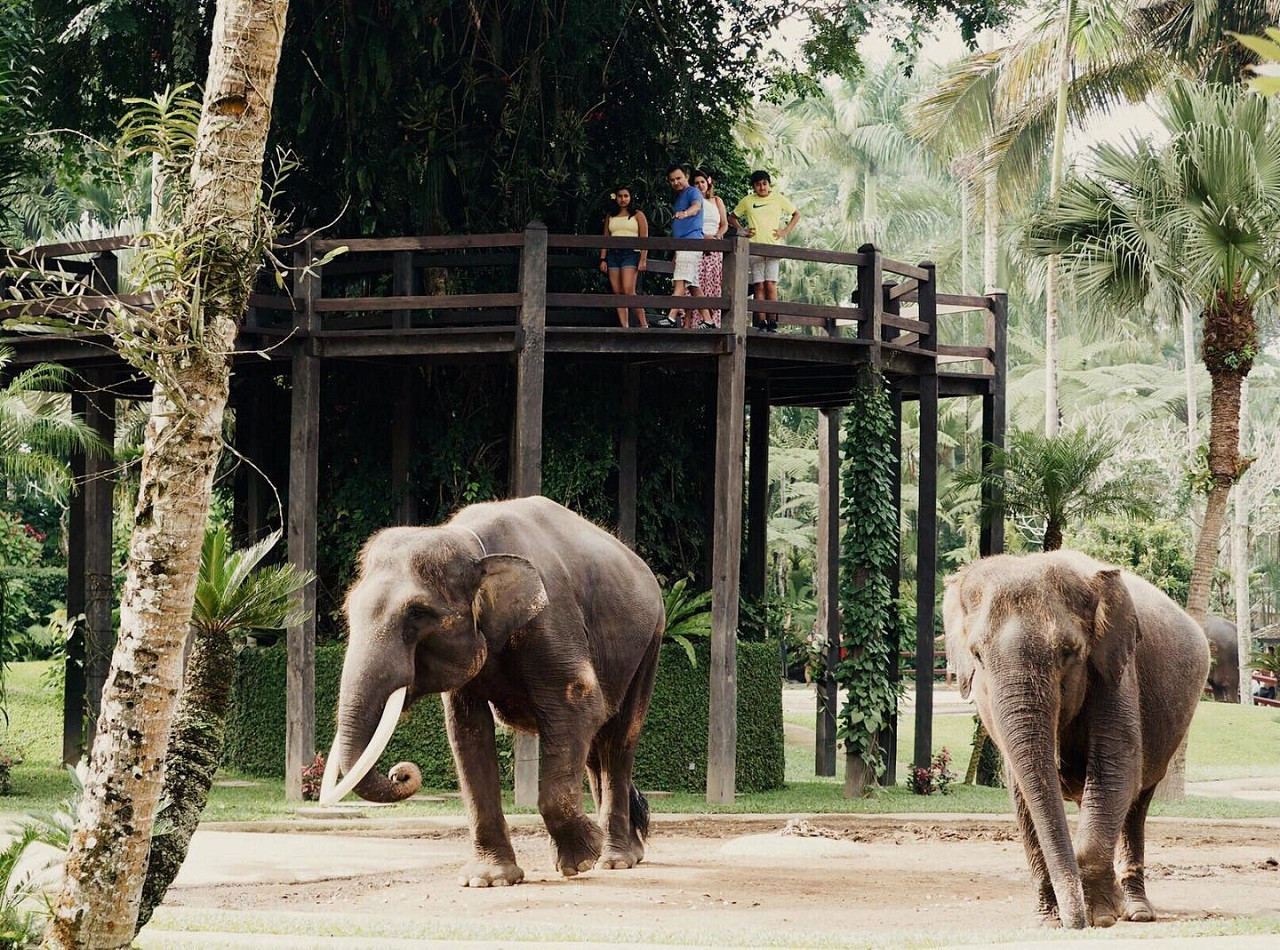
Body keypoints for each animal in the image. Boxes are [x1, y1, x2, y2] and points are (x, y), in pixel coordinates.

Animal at [318, 494, 665, 891]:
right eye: (348, 609)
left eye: (417, 614)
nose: (400, 773)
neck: (470, 544)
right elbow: (468, 732)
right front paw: (488, 880)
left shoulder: (551, 620)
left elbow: (577, 706)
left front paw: (580, 861)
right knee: (596, 748)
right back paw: (622, 853)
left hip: (650, 643)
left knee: (618, 740)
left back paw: (614, 860)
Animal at [942, 550, 1208, 932]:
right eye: (977, 654)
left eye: (1068, 652)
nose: (1075, 924)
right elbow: (1022, 792)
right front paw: (1049, 921)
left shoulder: (1116, 672)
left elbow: (1116, 771)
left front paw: (1100, 916)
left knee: (1137, 801)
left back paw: (1136, 911)